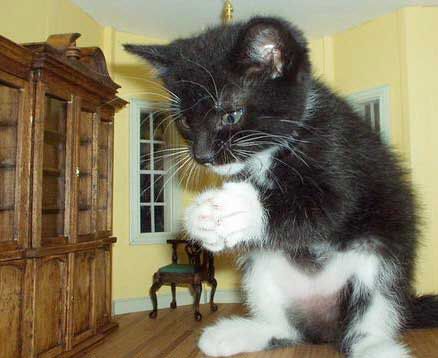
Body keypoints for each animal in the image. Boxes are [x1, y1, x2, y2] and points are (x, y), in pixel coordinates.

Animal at [125, 16, 438, 358]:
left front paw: (235, 211)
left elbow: (330, 208)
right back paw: (239, 334)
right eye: (184, 122)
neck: (276, 147)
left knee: (372, 307)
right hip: (264, 266)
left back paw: (375, 346)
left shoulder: (342, 151)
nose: (202, 155)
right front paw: (203, 223)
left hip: (382, 256)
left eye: (231, 114)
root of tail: (324, 327)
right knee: (288, 327)